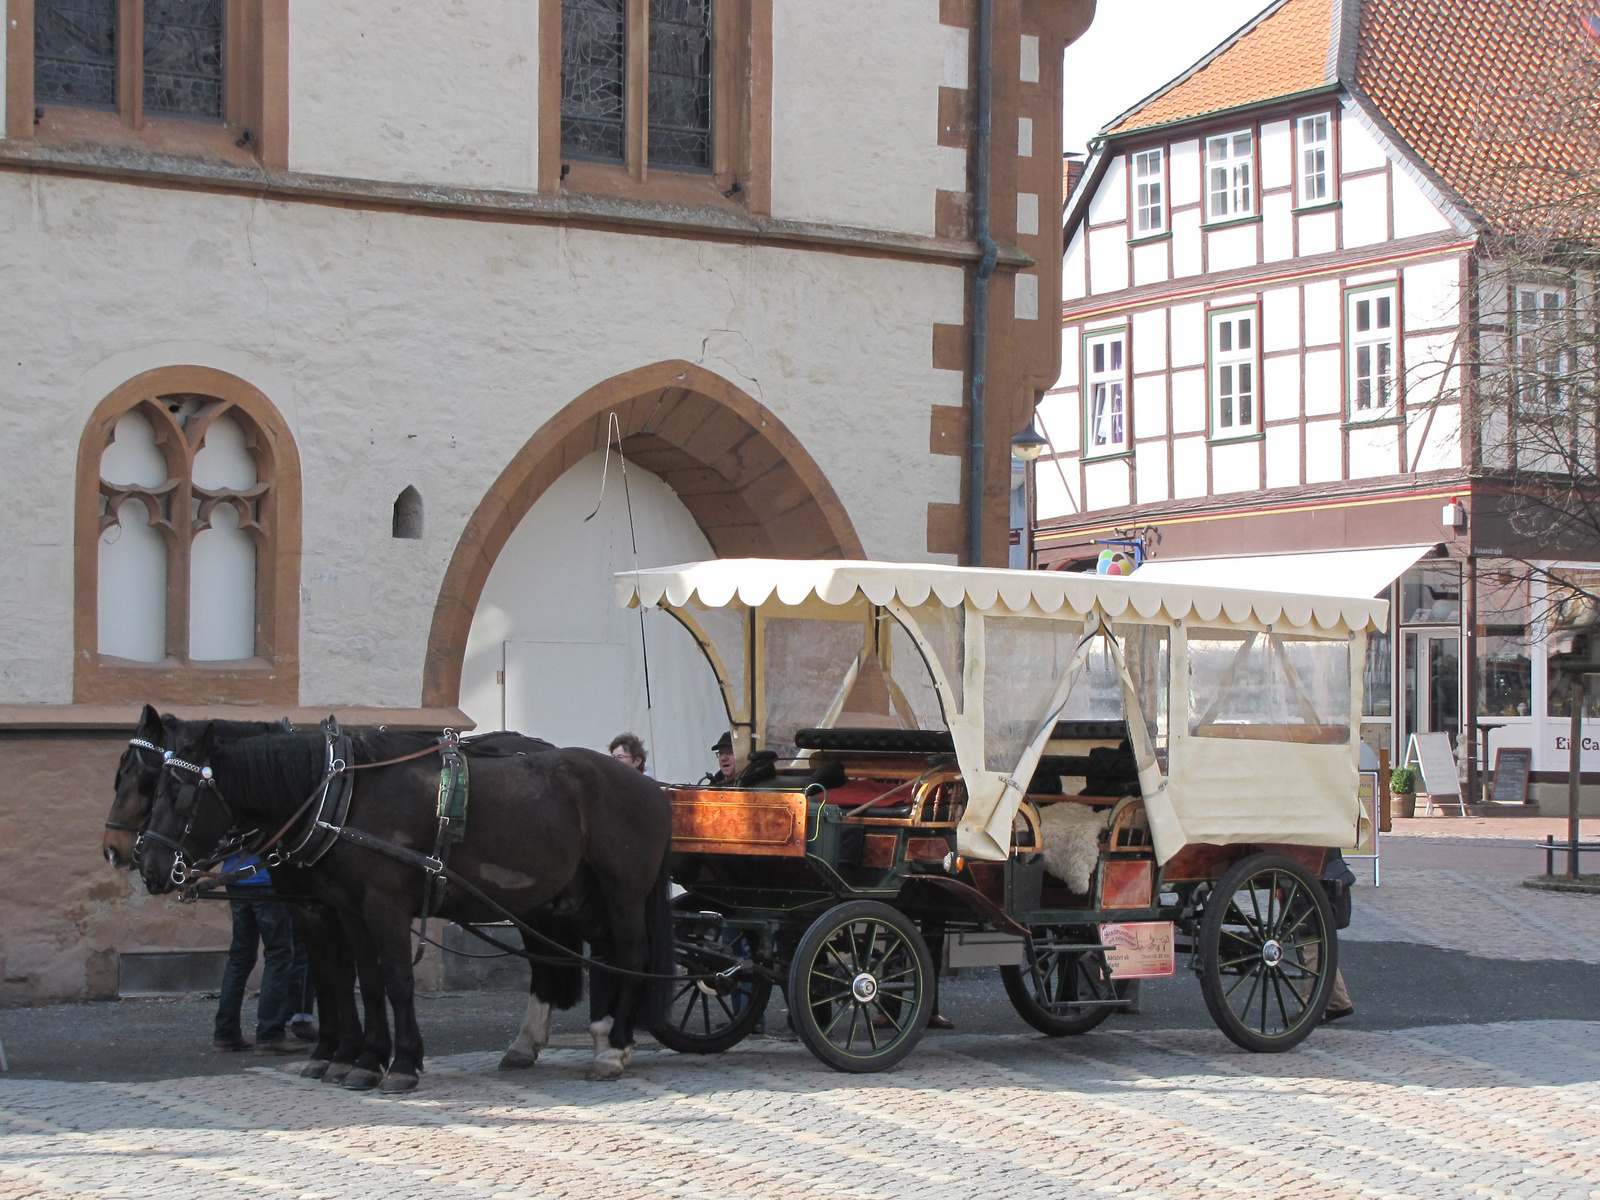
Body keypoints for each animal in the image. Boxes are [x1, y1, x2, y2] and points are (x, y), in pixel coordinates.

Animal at [139, 729, 681, 1094]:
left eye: (177, 792)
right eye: (151, 786)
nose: (148, 865)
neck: (342, 799)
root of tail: (650, 787)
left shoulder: (383, 905)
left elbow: (396, 981)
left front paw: (399, 1064)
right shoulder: (343, 907)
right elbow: (359, 981)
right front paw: (357, 1060)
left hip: (622, 892)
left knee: (631, 956)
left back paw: (614, 1048)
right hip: (581, 898)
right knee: (602, 958)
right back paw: (601, 1038)